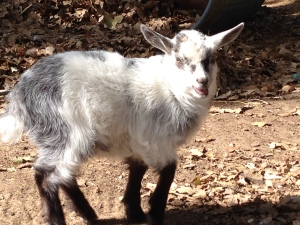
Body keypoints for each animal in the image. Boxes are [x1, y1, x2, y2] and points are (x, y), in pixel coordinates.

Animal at [0, 23, 244, 225]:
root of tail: (21, 94)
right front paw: (154, 213)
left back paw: (88, 214)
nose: (202, 82)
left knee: (59, 175)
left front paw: (134, 212)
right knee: (48, 176)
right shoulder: (154, 141)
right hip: (68, 133)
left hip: (59, 138)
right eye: (179, 60)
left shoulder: (138, 142)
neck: (170, 88)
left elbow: (137, 169)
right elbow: (169, 170)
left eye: (211, 59)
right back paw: (59, 220)